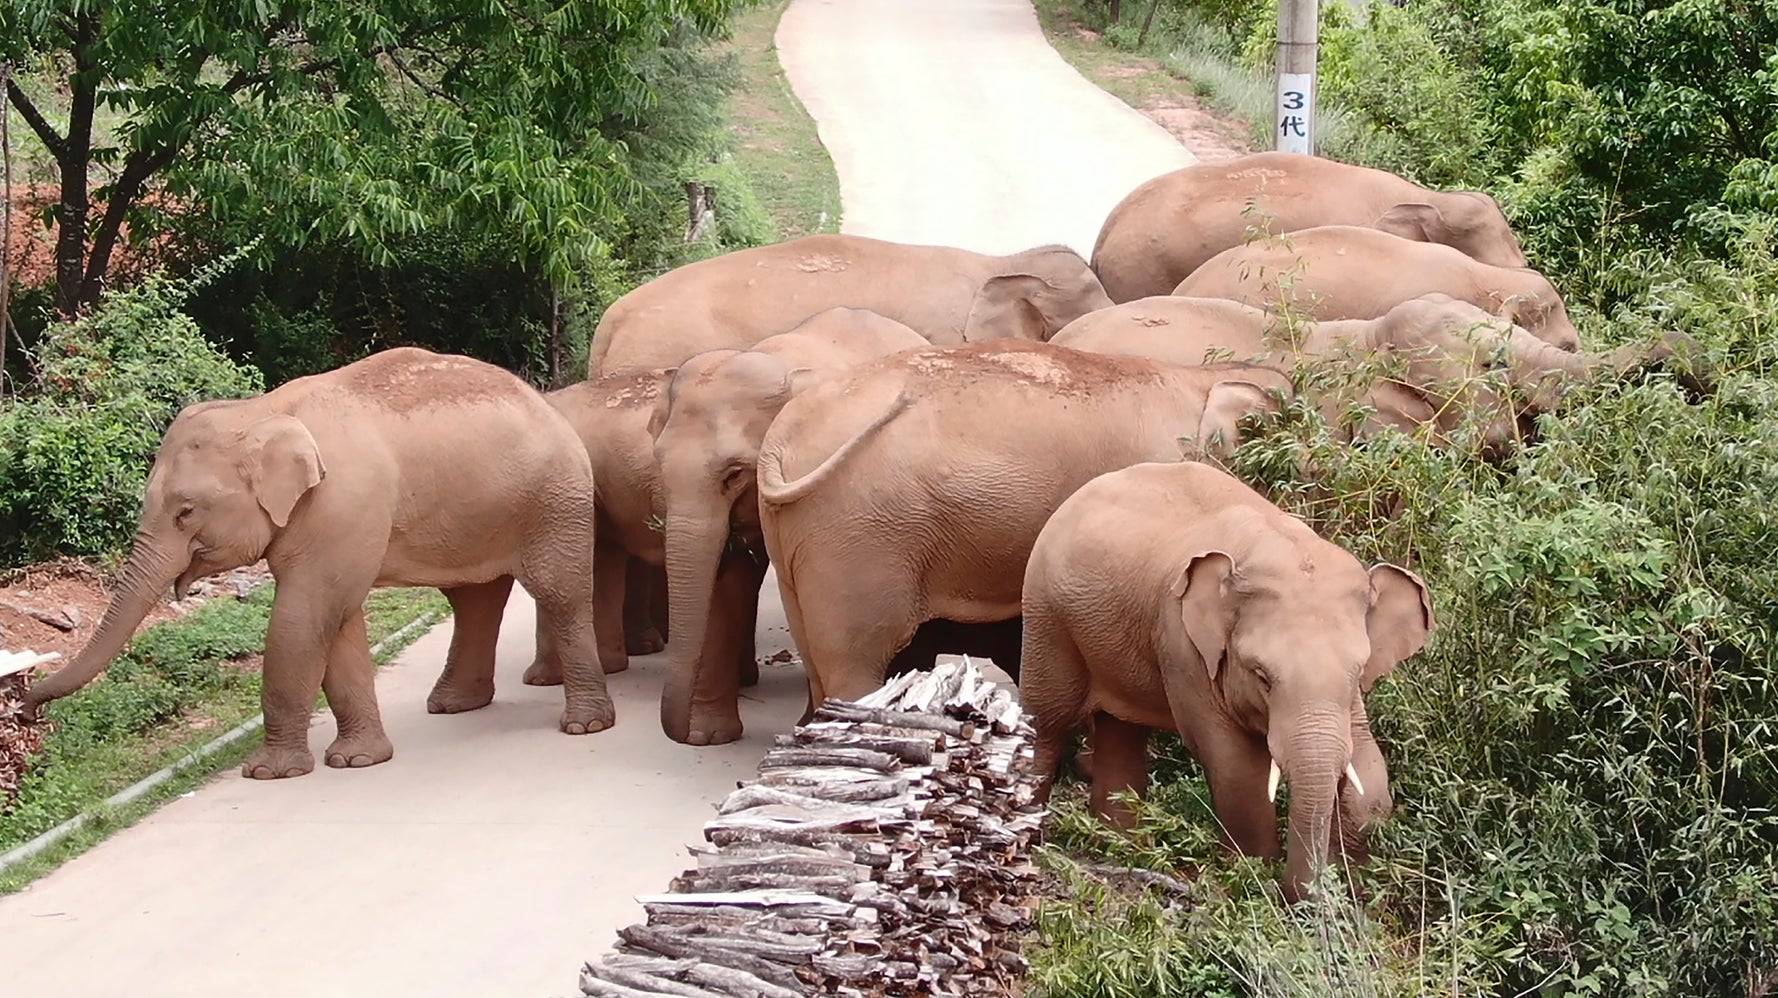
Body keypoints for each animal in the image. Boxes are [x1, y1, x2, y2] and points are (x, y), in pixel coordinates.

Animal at [23, 347, 615, 779]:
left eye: (186, 511)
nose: (27, 709)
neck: (261, 409)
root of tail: (547, 402)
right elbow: (337, 620)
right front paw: (358, 761)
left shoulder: (339, 504)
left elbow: (305, 615)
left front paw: (270, 773)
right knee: (475, 600)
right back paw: (453, 706)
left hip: (554, 498)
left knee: (558, 593)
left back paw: (585, 726)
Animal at [650, 306, 931, 745]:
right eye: (659, 465)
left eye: (734, 474)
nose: (681, 733)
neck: (775, 359)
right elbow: (726, 581)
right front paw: (710, 738)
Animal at [754, 340, 1293, 708]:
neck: (1201, 378)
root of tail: (781, 439)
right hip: (859, 536)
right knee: (855, 665)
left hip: (796, 538)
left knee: (818, 661)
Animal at [1021, 460, 1433, 900]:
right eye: (1261, 675)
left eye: (1358, 672)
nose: (1306, 895)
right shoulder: (1182, 644)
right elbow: (1238, 766)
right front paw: (1253, 876)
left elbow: (1369, 768)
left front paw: (1353, 877)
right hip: (1046, 614)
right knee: (1048, 720)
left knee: (1122, 730)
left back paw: (1122, 846)